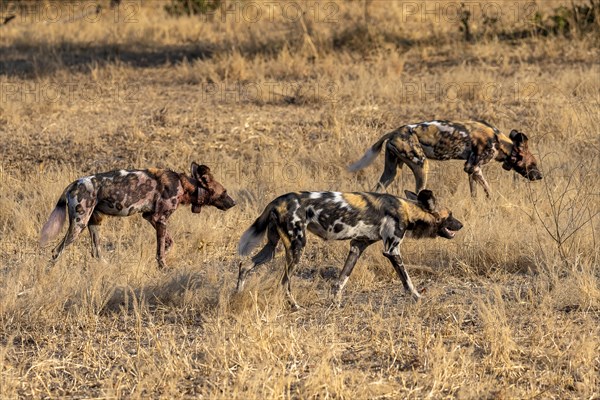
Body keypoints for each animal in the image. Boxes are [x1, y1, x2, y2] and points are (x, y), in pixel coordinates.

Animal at [39, 162, 237, 268]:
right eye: (225, 192)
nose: (234, 202)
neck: (184, 185)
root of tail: (73, 183)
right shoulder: (160, 219)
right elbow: (160, 250)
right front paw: (163, 267)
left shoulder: (151, 217)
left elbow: (168, 243)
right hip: (79, 224)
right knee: (56, 251)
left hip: (93, 223)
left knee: (96, 252)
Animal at [237, 188, 462, 310]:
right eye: (450, 215)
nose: (461, 224)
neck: (407, 209)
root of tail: (277, 201)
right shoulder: (392, 250)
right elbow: (407, 281)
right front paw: (417, 297)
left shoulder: (357, 246)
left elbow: (341, 280)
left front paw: (335, 304)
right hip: (297, 248)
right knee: (284, 282)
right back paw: (295, 306)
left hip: (271, 248)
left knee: (245, 265)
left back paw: (236, 295)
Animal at [346, 120, 544, 198]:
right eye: (533, 163)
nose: (540, 176)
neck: (500, 142)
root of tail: (394, 132)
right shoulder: (473, 166)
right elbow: (489, 190)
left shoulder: (471, 168)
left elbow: (474, 192)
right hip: (422, 166)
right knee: (417, 194)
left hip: (391, 172)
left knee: (378, 189)